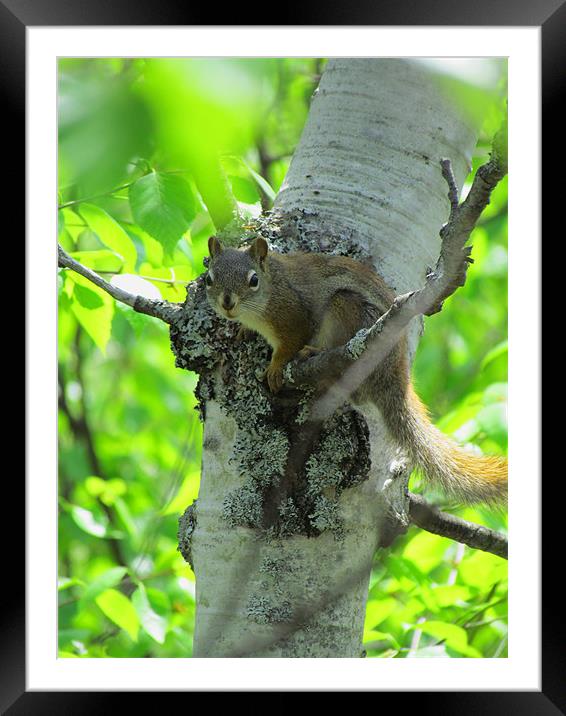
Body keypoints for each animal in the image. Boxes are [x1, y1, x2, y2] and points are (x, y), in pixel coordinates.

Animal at [205, 235, 510, 504]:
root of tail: (395, 375)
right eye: (209, 278)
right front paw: (243, 331)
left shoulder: (292, 315)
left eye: (253, 280)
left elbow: (289, 344)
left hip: (347, 309)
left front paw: (276, 367)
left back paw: (314, 353)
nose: (227, 303)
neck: (272, 285)